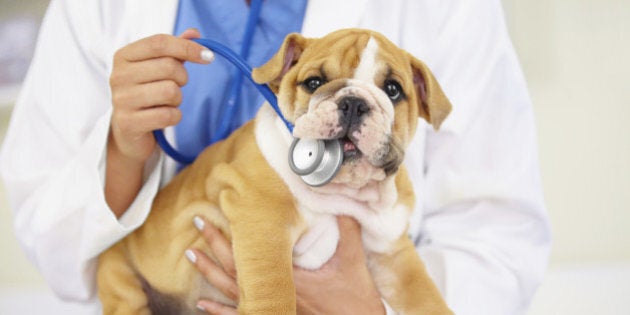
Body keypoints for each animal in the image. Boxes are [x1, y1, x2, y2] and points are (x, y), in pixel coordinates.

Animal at [97, 28, 454, 314]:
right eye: (314, 83)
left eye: (393, 90)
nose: (353, 103)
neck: (340, 192)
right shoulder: (263, 221)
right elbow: (274, 290)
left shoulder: (391, 250)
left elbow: (425, 296)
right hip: (119, 278)